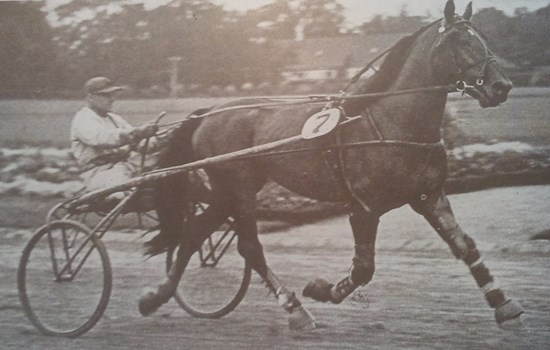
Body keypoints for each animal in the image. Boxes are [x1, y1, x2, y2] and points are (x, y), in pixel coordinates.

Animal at [139, 0, 528, 330]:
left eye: (483, 38)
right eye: (460, 40)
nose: (502, 86)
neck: (389, 122)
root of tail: (208, 113)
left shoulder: (429, 195)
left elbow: (465, 246)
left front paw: (503, 303)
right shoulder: (364, 207)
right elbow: (364, 269)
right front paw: (320, 289)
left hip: (227, 192)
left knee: (193, 234)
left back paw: (154, 298)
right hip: (239, 189)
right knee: (249, 247)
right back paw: (295, 309)